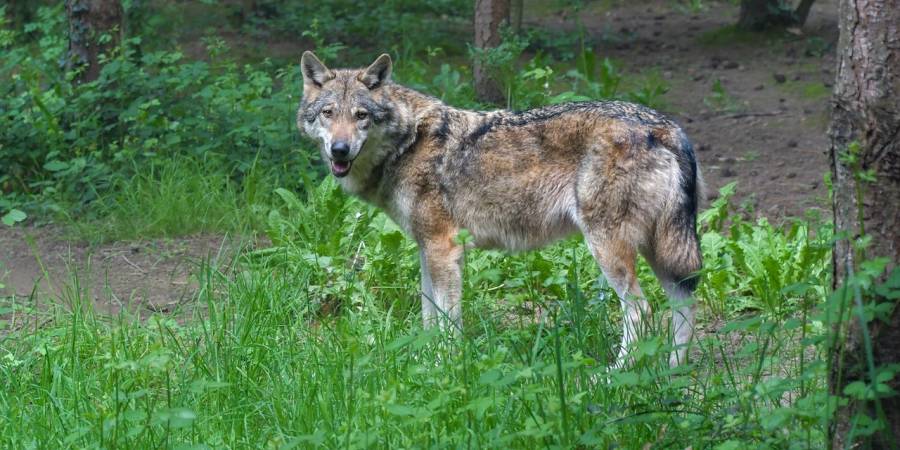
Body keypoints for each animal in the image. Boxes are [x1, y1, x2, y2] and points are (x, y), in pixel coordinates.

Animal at [296, 51, 704, 366]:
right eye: (328, 113)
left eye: (361, 115)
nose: (339, 150)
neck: (408, 142)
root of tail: (667, 128)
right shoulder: (427, 250)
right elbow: (429, 318)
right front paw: (423, 364)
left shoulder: (444, 249)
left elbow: (447, 322)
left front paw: (445, 367)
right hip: (660, 250)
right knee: (684, 304)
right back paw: (672, 372)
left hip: (610, 248)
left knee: (642, 311)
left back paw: (612, 377)